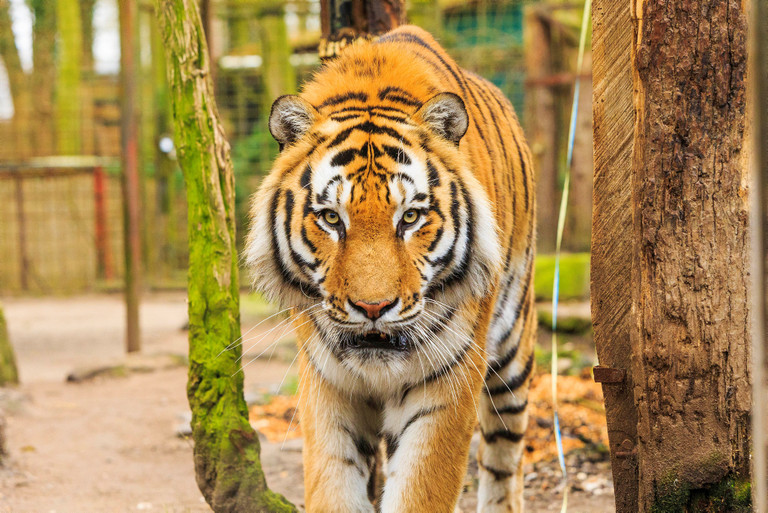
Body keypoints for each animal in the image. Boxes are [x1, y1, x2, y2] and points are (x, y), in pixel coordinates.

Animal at [246, 25, 536, 512]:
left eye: (410, 217)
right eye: (331, 219)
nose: (373, 308)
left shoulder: (449, 380)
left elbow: (422, 489)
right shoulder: (326, 385)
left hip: (513, 350)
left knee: (504, 456)